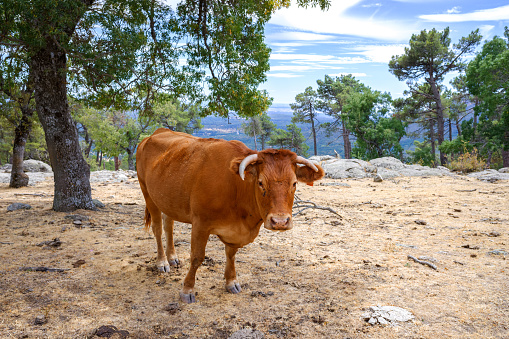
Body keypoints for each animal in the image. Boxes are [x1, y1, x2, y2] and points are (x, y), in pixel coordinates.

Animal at [137, 129, 324, 304]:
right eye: (261, 183)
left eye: (294, 183)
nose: (280, 221)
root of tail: (157, 132)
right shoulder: (200, 223)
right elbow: (197, 257)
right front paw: (187, 290)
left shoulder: (235, 231)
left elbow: (231, 254)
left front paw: (231, 282)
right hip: (147, 192)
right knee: (158, 228)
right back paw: (162, 262)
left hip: (168, 200)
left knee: (168, 224)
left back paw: (173, 258)